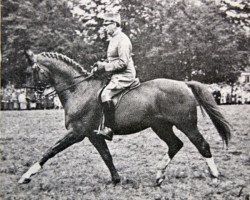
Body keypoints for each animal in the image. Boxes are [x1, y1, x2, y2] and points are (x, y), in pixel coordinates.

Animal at [18, 49, 231, 186]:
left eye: (30, 72)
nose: (28, 99)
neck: (79, 90)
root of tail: (184, 84)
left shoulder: (77, 133)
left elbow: (50, 151)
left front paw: (26, 176)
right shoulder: (93, 135)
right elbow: (106, 156)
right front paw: (116, 179)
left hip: (186, 124)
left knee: (202, 145)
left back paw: (214, 176)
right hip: (161, 126)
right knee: (175, 145)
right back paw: (159, 176)